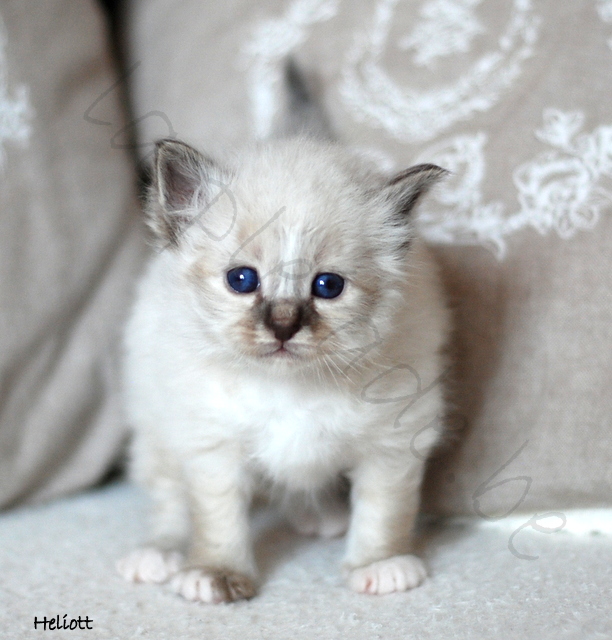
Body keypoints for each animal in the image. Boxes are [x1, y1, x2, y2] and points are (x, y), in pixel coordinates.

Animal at [116, 67, 450, 604]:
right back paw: (158, 554)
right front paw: (216, 574)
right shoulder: (212, 443)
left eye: (328, 286)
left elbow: (384, 511)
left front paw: (381, 565)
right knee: (168, 499)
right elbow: (217, 519)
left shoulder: (394, 441)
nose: (283, 325)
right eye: (242, 280)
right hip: (156, 428)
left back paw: (319, 516)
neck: (290, 387)